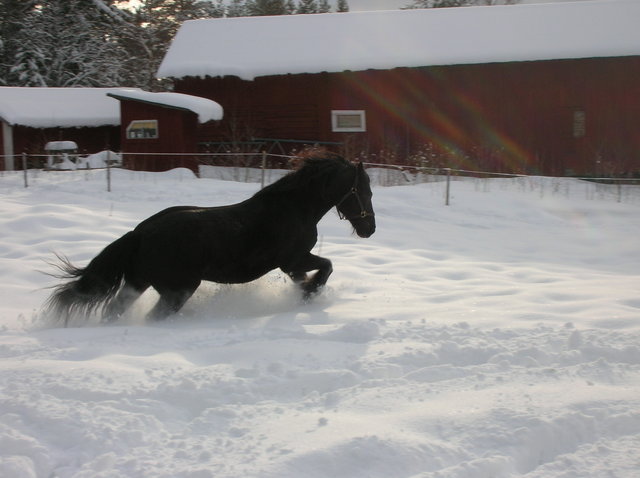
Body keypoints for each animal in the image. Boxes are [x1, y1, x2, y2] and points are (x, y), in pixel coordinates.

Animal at [45, 154, 376, 324]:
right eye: (364, 190)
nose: (369, 229)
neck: (294, 208)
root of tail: (139, 233)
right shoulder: (293, 260)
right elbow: (327, 266)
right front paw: (312, 293)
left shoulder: (291, 266)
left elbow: (311, 276)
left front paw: (307, 294)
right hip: (177, 290)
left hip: (138, 283)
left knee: (113, 310)